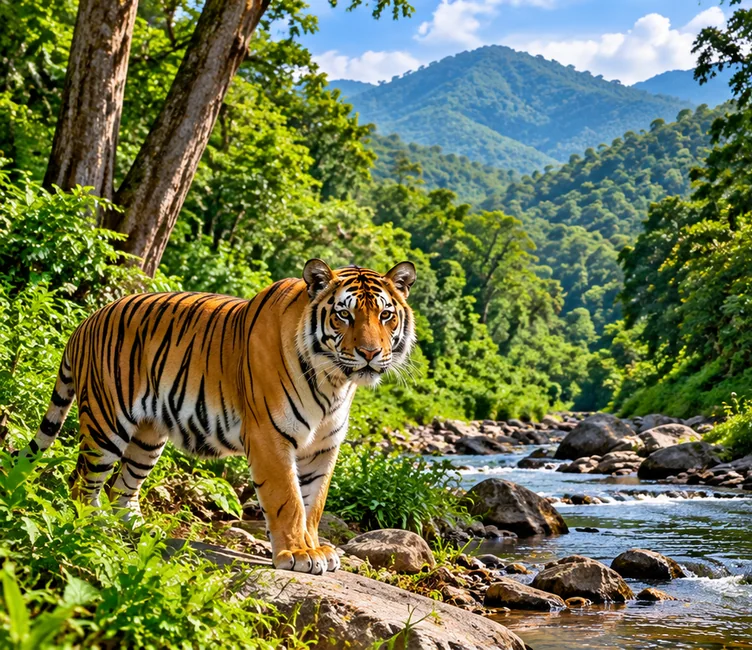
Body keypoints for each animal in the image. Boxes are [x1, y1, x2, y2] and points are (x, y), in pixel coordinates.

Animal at [22, 259, 416, 574]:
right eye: (344, 315)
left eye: (385, 315)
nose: (370, 353)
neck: (334, 381)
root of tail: (86, 320)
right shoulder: (269, 436)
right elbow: (288, 500)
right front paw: (298, 553)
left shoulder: (323, 447)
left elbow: (313, 504)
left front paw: (314, 546)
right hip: (107, 422)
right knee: (81, 481)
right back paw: (91, 527)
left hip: (148, 437)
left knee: (122, 486)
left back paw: (138, 530)